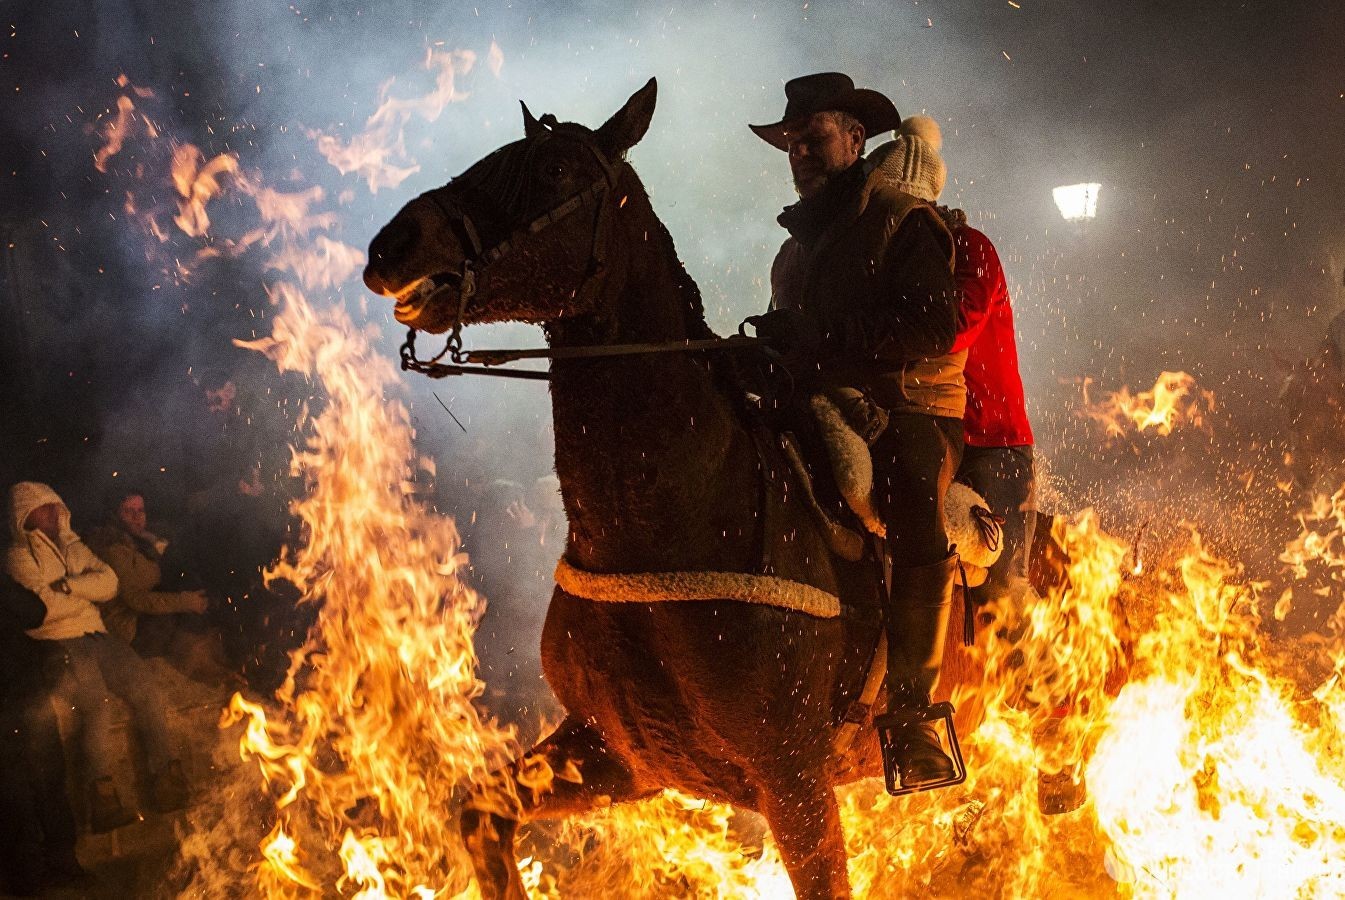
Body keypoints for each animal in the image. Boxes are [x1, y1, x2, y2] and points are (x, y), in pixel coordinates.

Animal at [363, 80, 984, 893]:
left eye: (555, 169)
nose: (390, 245)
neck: (677, 521)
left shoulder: (795, 782)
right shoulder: (618, 755)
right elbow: (480, 816)